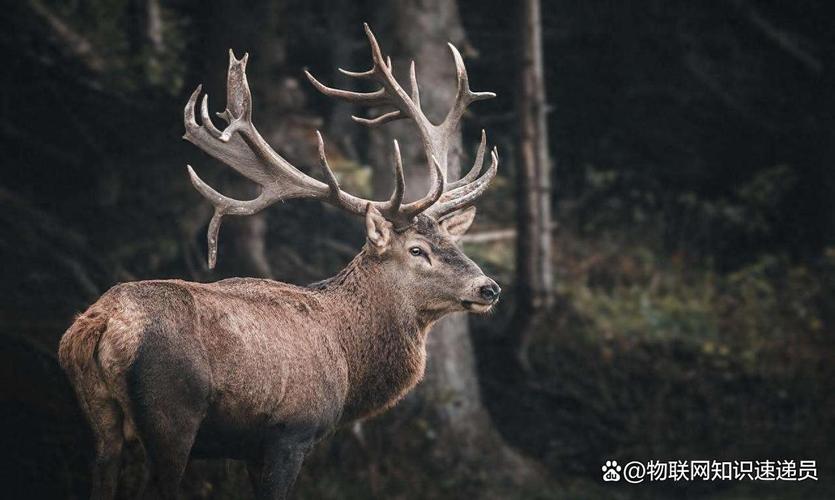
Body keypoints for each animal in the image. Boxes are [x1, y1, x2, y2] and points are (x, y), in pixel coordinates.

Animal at [59, 24, 500, 500]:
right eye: (417, 250)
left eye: (452, 241)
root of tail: (100, 324)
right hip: (171, 415)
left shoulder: (244, 450)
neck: (349, 363)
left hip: (99, 421)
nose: (489, 287)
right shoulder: (291, 432)